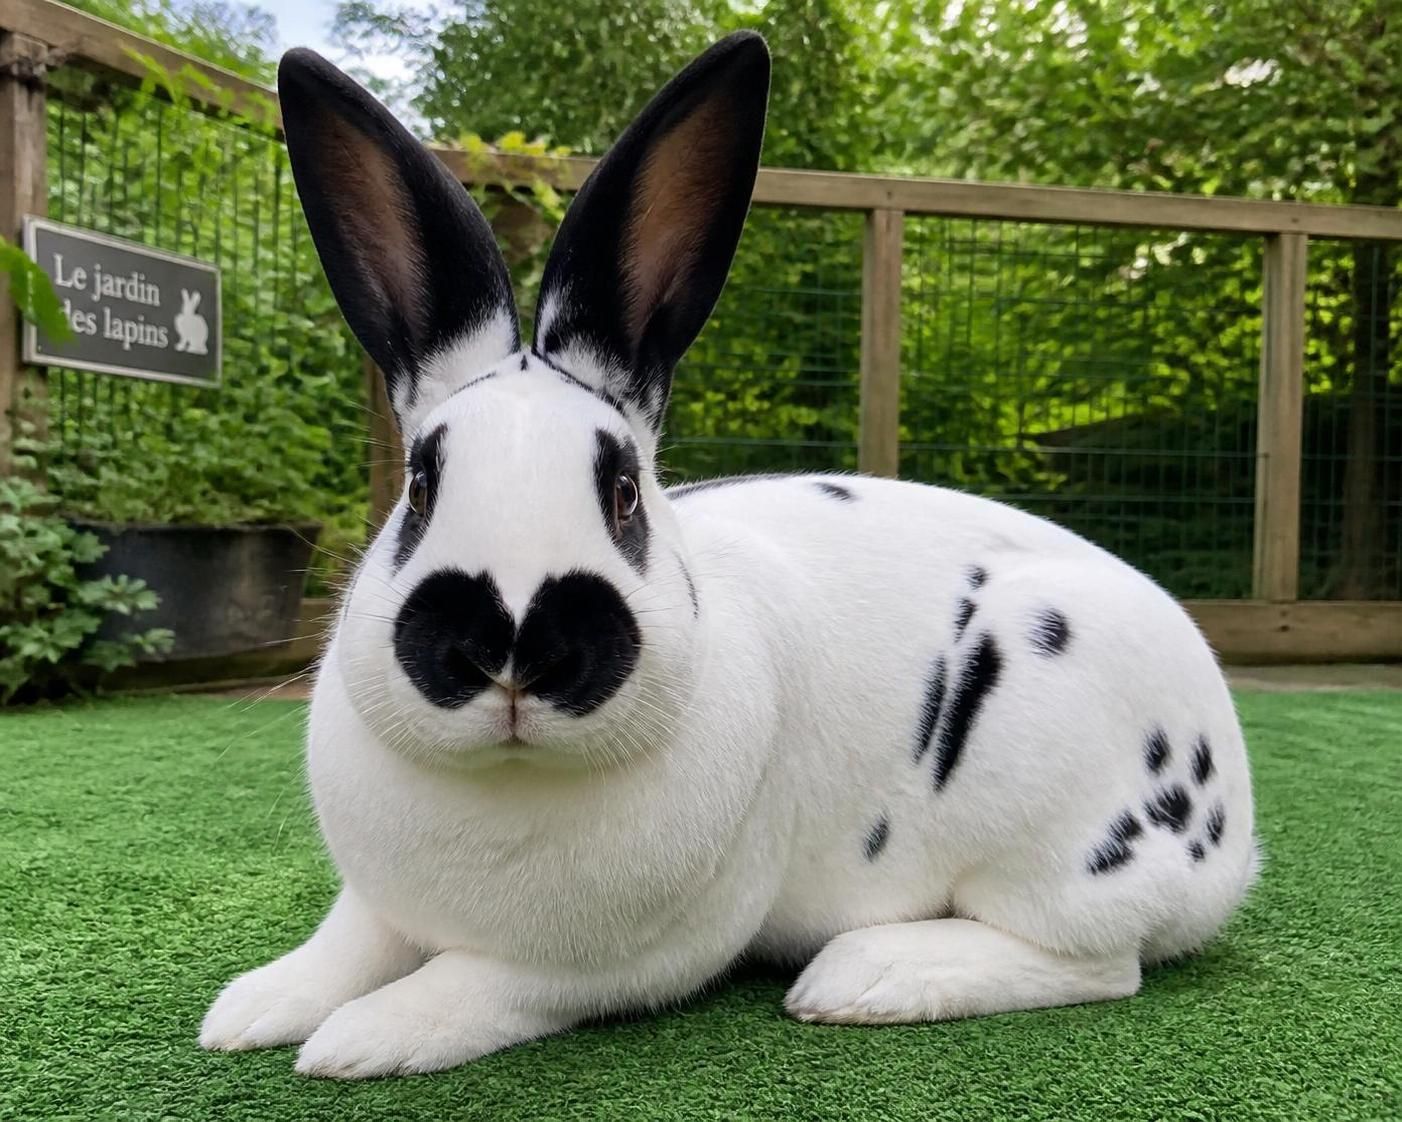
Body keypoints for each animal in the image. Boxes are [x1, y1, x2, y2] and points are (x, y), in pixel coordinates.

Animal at [199, 34, 1257, 1080]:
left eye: (624, 494)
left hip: (1050, 797)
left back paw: (866, 978)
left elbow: (473, 985)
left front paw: (362, 1040)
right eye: (421, 487)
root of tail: (1236, 835)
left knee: (1099, 962)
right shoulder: (377, 904)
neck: (509, 781)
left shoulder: (610, 963)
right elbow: (346, 945)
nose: (512, 641)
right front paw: (250, 1010)